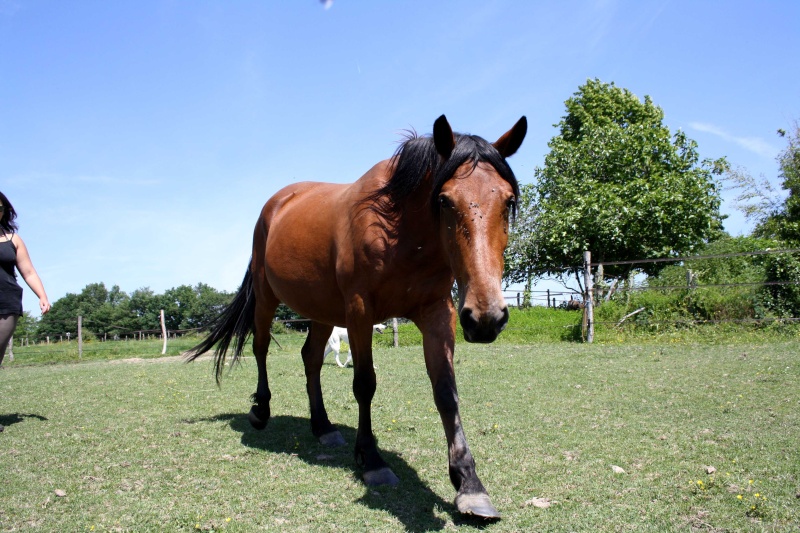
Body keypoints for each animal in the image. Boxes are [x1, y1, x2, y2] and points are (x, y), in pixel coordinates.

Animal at [187, 114, 524, 516]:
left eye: (508, 200)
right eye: (444, 200)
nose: (487, 317)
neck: (400, 232)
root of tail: (276, 204)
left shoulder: (437, 313)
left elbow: (446, 391)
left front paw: (469, 483)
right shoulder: (360, 311)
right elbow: (365, 384)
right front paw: (371, 459)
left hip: (321, 310)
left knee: (311, 358)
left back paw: (322, 426)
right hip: (268, 298)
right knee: (261, 348)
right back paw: (261, 411)